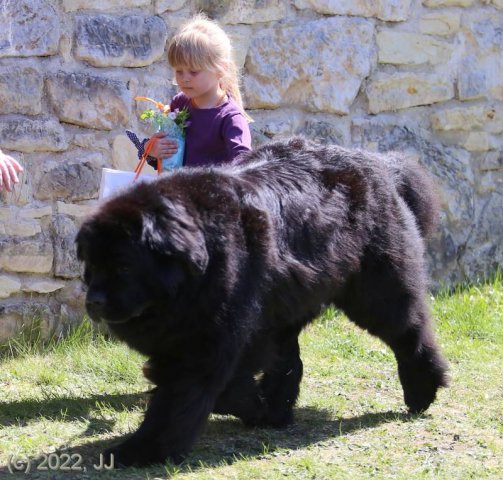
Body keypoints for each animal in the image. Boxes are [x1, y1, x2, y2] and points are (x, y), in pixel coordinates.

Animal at [78, 137, 448, 466]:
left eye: (124, 266)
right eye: (92, 266)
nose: (93, 301)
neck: (202, 261)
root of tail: (381, 165)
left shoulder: (206, 340)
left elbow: (178, 400)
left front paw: (141, 450)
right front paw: (257, 407)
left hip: (375, 290)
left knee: (408, 332)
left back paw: (422, 389)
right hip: (288, 300)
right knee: (288, 358)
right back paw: (277, 409)